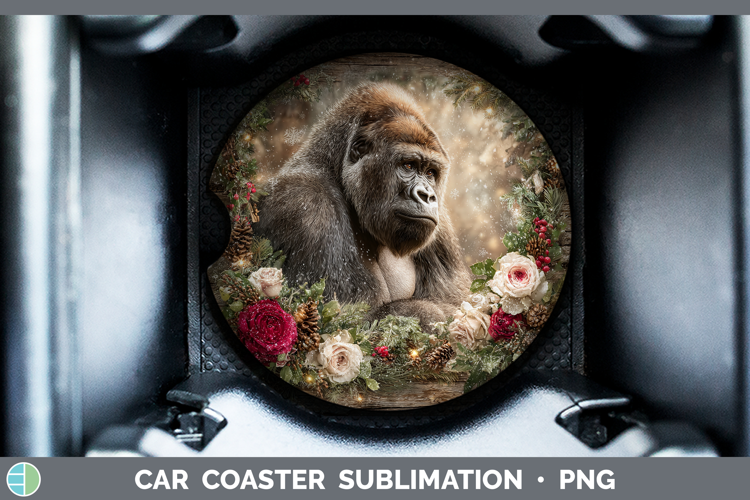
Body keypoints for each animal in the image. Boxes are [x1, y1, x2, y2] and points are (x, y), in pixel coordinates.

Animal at [254, 82, 470, 327]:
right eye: (408, 165)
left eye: (431, 173)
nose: (427, 195)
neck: (335, 169)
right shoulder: (304, 204)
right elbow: (337, 319)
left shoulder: (441, 226)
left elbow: (455, 301)